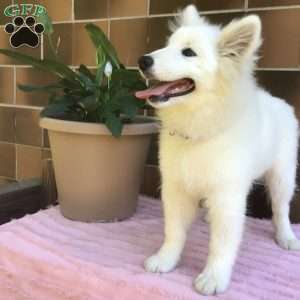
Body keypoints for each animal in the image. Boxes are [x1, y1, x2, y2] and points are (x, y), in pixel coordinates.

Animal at [136, 4, 300, 296]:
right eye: (168, 45)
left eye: (188, 52)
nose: (142, 61)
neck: (199, 125)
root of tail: (279, 102)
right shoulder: (176, 188)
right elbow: (173, 231)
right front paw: (165, 260)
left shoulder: (228, 195)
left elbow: (222, 244)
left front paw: (214, 278)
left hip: (283, 175)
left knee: (281, 209)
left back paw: (286, 237)